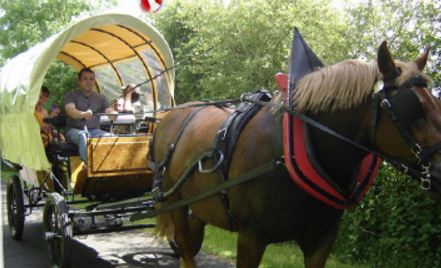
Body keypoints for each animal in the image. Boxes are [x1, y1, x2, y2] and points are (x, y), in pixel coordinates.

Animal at [150, 40, 440, 266]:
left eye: (435, 102)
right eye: (413, 107)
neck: (288, 153)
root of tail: (167, 117)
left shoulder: (321, 240)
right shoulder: (251, 237)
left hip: (201, 204)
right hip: (175, 200)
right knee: (185, 247)